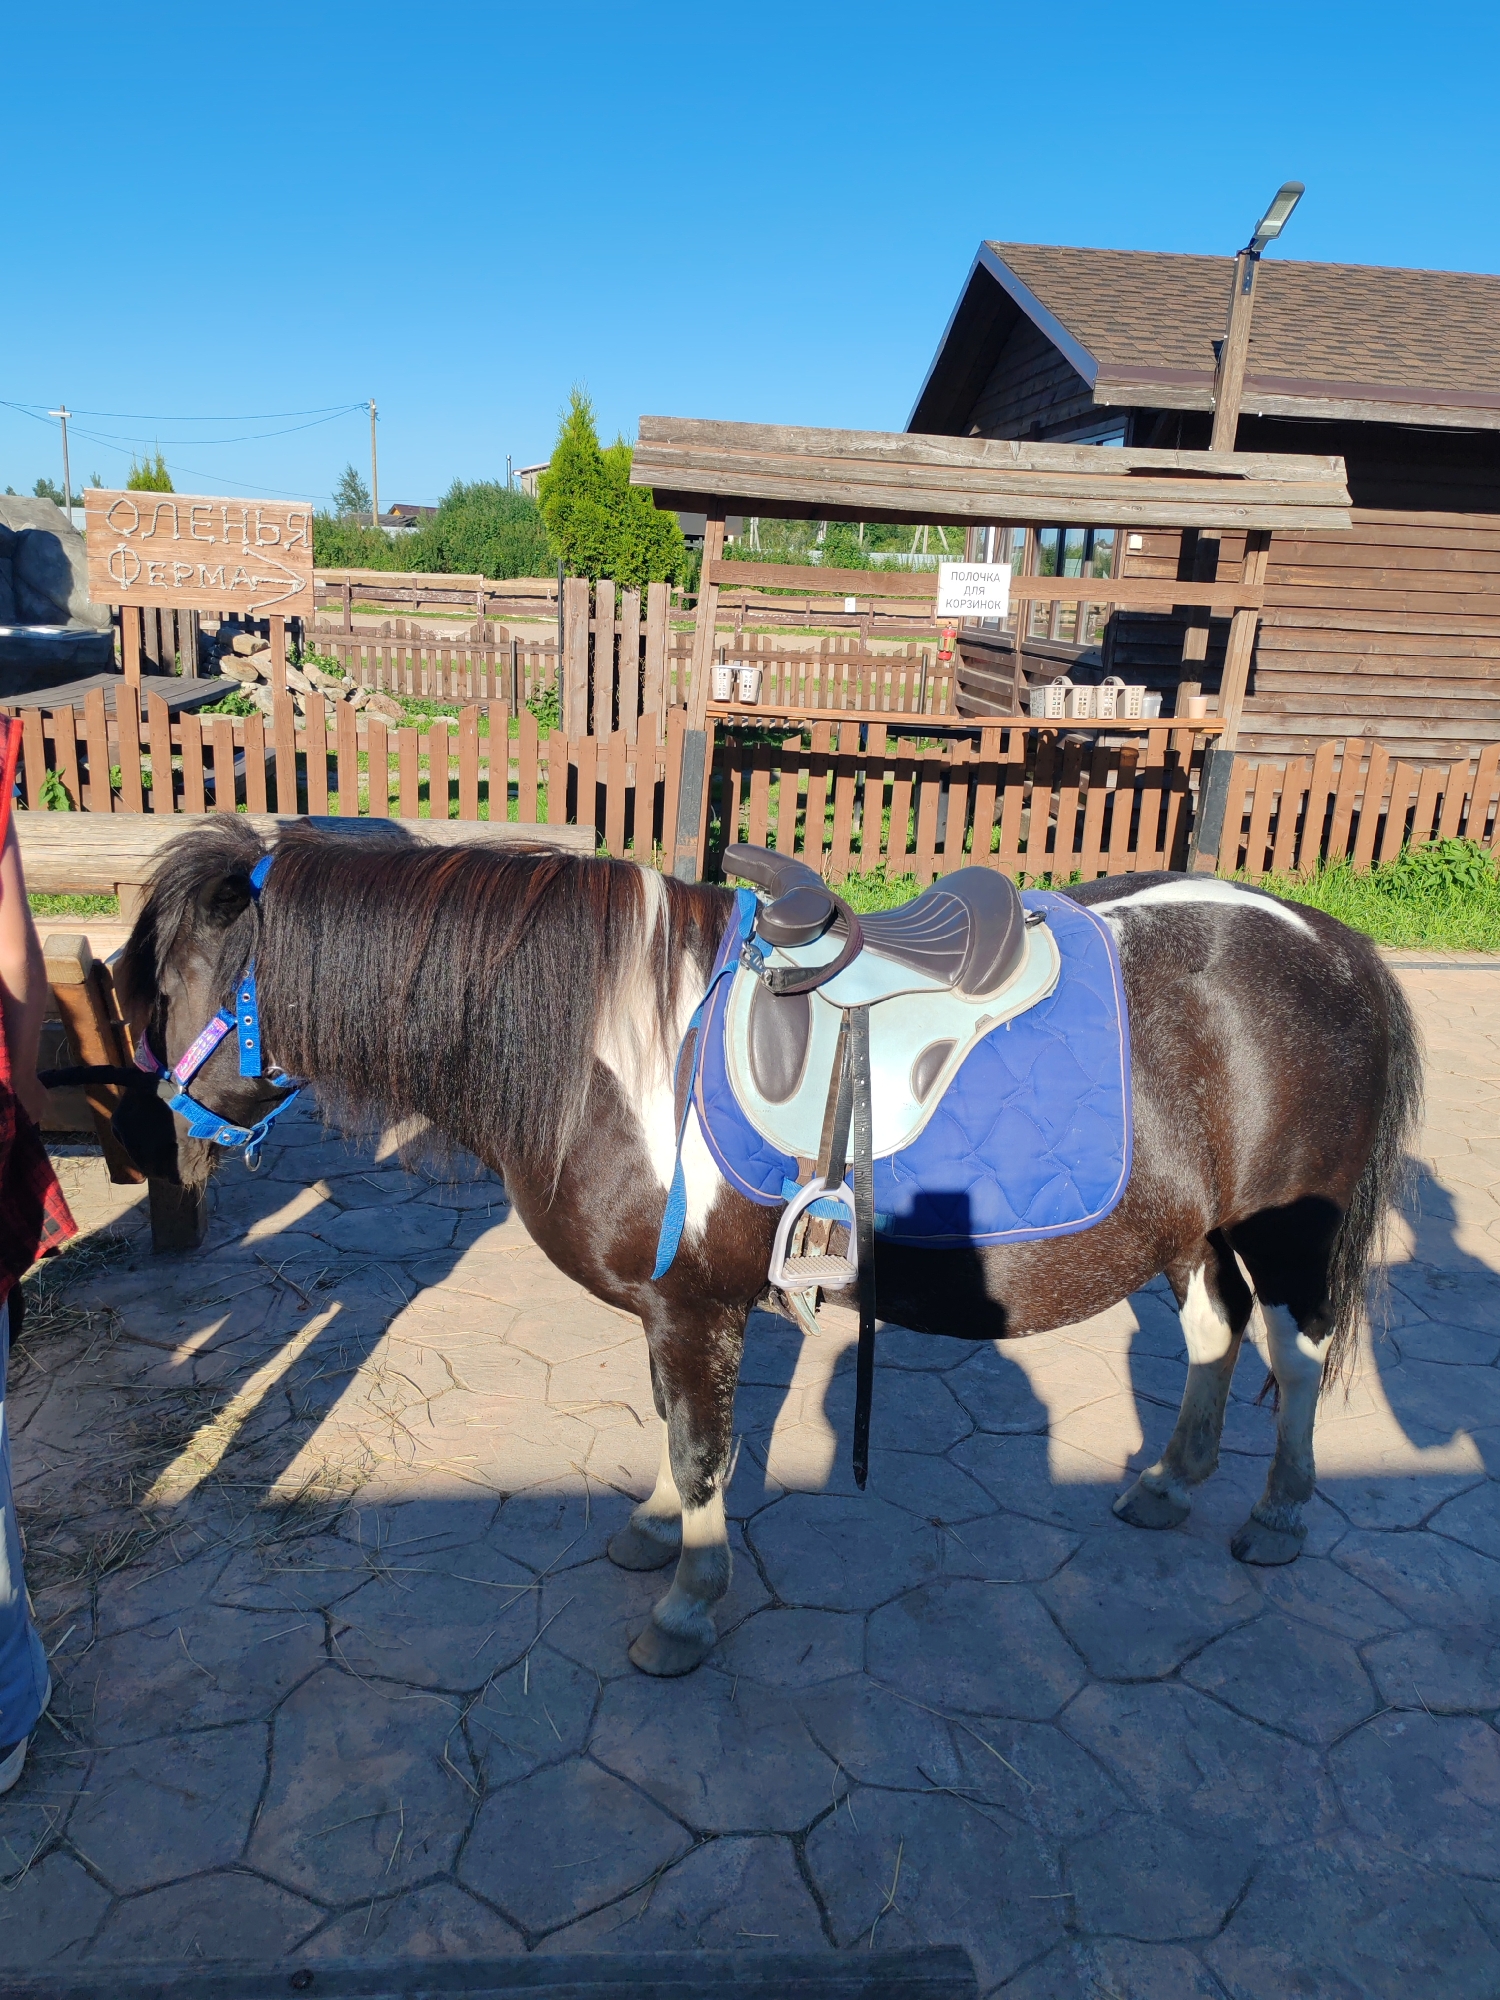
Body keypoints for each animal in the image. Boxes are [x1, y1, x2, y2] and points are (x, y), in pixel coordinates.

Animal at [108, 819, 1421, 1678]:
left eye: (179, 978)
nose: (159, 1130)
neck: (616, 1044)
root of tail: (1336, 942)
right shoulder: (672, 1309)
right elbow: (673, 1433)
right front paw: (652, 1531)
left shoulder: (695, 1309)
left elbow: (702, 1451)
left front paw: (688, 1606)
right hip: (1192, 1227)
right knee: (1214, 1332)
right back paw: (1169, 1481)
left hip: (1284, 1235)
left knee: (1298, 1356)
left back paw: (1279, 1512)